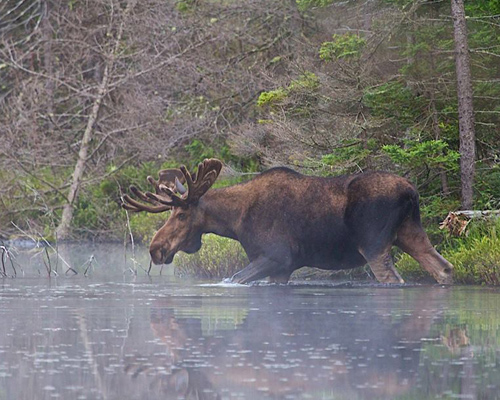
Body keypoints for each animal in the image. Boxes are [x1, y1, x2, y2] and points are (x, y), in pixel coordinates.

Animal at [121, 157, 454, 284]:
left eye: (181, 214)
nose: (156, 249)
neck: (235, 222)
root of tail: (411, 192)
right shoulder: (283, 268)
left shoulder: (276, 256)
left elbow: (233, 278)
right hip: (411, 234)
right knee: (444, 268)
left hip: (374, 246)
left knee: (394, 280)